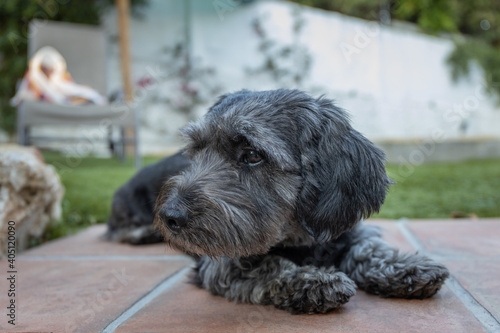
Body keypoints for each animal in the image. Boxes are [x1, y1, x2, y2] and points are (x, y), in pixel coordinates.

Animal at [119, 89, 452, 314]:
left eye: (253, 155)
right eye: (196, 150)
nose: (170, 216)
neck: (298, 238)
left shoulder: (345, 229)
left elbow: (368, 249)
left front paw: (405, 266)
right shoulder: (220, 265)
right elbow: (266, 266)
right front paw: (310, 280)